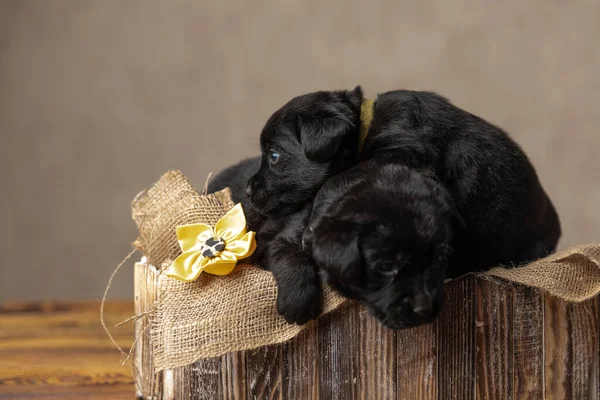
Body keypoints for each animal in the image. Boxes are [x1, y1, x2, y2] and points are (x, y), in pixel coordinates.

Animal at [245, 86, 564, 328]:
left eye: (273, 156)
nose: (247, 191)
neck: (367, 127)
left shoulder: (403, 148)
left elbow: (338, 178)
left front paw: (314, 222)